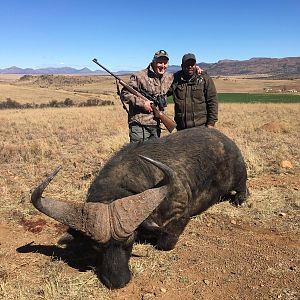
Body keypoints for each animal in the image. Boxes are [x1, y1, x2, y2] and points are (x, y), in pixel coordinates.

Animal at [31, 126, 250, 288]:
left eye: (130, 242)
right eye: (96, 247)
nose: (118, 282)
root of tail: (227, 141)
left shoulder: (179, 217)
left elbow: (164, 243)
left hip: (240, 178)